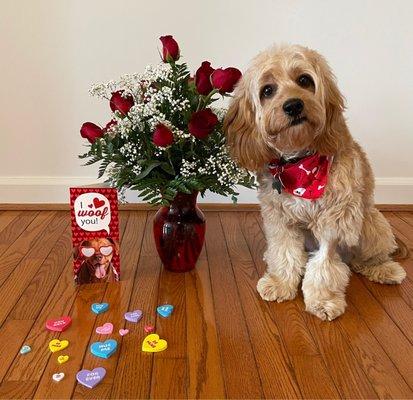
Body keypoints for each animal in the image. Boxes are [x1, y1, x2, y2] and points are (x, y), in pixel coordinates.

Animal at [222, 43, 406, 320]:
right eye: (267, 90)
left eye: (304, 80)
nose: (293, 105)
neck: (299, 165)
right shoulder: (279, 218)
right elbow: (285, 252)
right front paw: (280, 283)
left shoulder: (335, 221)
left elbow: (325, 265)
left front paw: (323, 300)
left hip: (371, 225)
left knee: (365, 258)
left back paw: (384, 269)